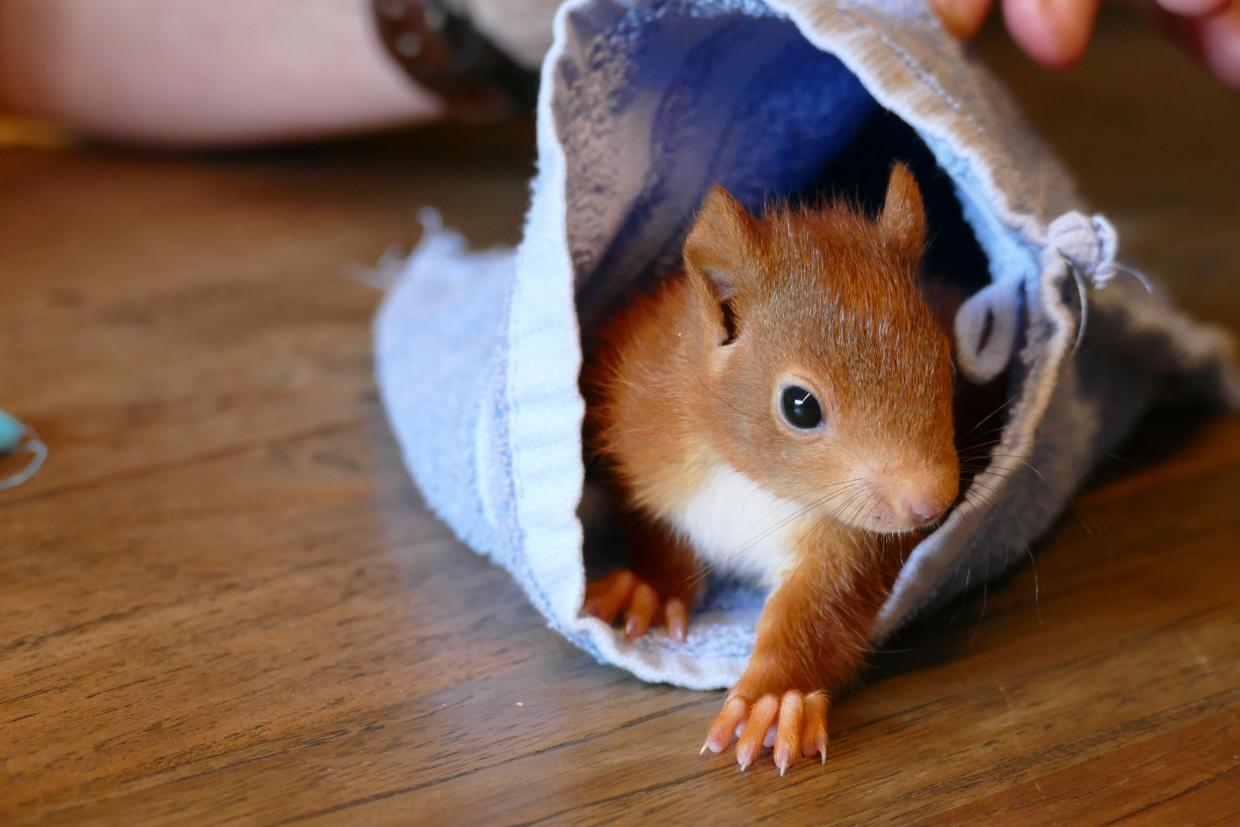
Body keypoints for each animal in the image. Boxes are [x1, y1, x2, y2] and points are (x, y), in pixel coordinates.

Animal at [580, 166, 957, 778]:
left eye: (946, 362)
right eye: (799, 405)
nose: (932, 504)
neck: (753, 482)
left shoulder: (843, 542)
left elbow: (814, 608)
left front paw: (774, 697)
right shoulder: (645, 448)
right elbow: (656, 531)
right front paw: (650, 589)